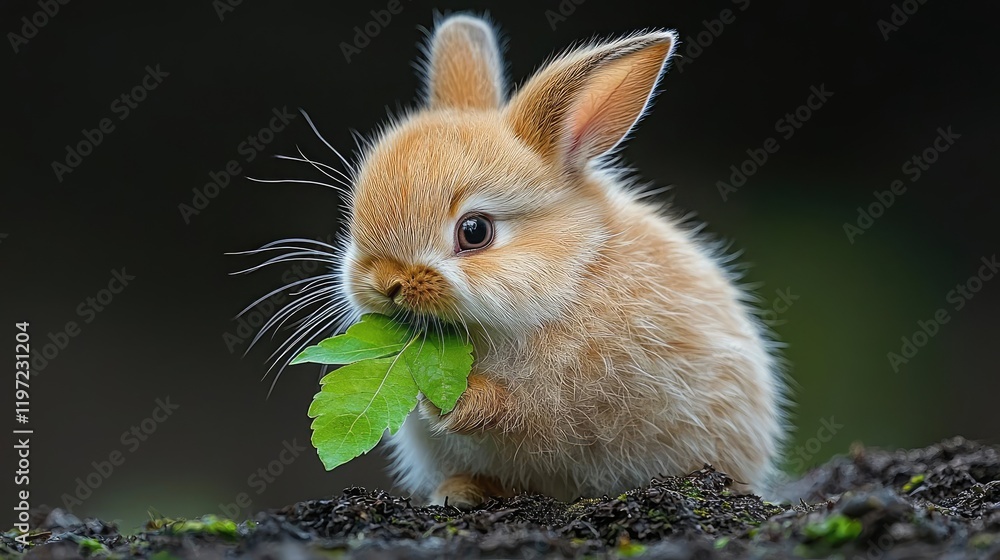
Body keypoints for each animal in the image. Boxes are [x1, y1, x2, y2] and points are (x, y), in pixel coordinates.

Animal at [336, 14, 787, 508]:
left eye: (474, 232)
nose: (387, 283)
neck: (571, 275)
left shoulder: (560, 400)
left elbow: (513, 412)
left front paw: (447, 402)